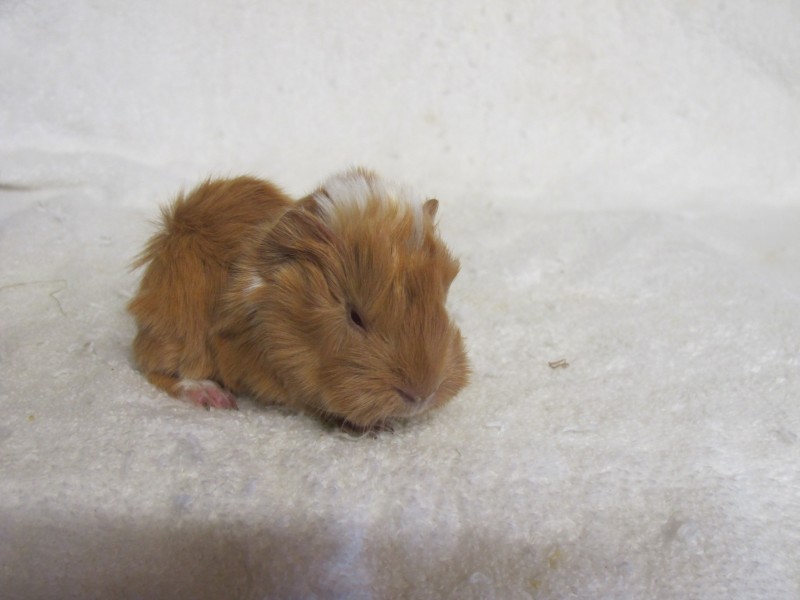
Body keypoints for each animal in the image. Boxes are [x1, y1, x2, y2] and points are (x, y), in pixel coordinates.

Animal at [128, 168, 469, 430]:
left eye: (441, 299)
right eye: (354, 316)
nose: (422, 395)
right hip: (179, 338)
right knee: (155, 368)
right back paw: (214, 398)